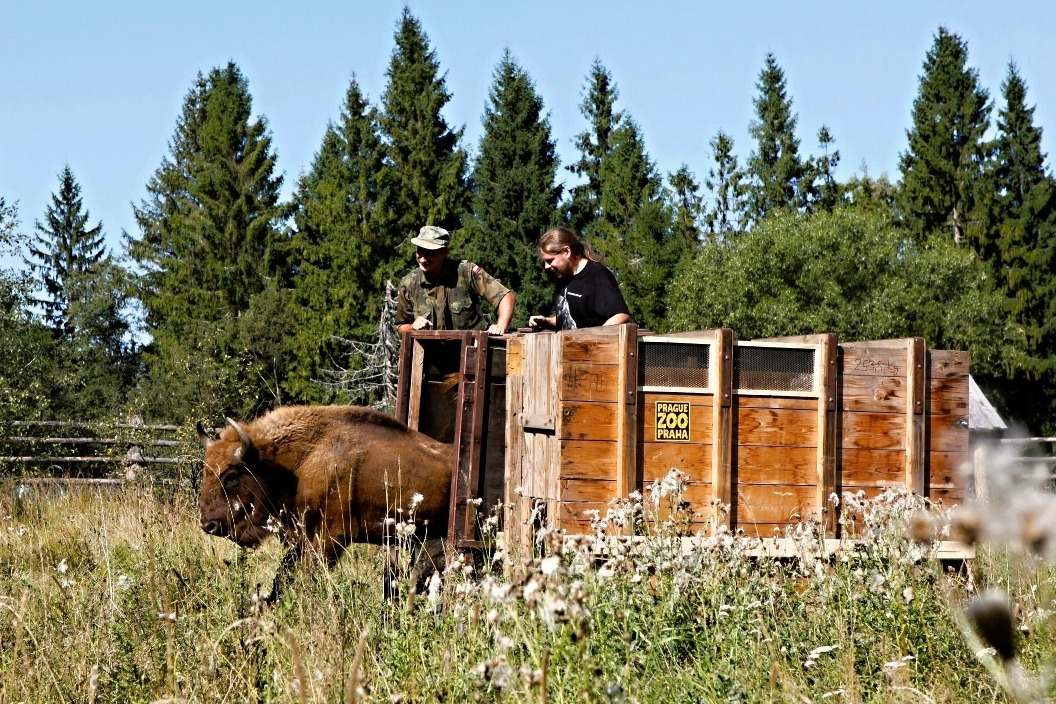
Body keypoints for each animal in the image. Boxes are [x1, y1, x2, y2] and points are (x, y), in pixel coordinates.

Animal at [196, 405, 451, 603]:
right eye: (206, 471)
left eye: (231, 477)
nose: (208, 525)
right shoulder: (302, 538)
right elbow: (282, 576)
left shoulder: (329, 539)